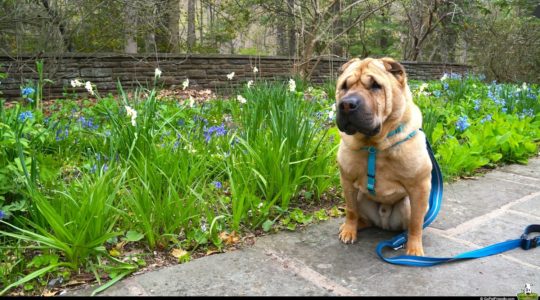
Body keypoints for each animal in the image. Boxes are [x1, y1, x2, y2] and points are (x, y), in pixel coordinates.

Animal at [336, 56, 432, 255]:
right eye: (345, 86)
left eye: (375, 85)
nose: (346, 104)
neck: (374, 145)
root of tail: (384, 222)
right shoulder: (347, 180)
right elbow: (350, 210)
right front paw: (349, 230)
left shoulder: (420, 187)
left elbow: (416, 222)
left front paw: (414, 249)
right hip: (360, 197)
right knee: (360, 214)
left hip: (407, 204)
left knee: (411, 223)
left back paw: (402, 239)